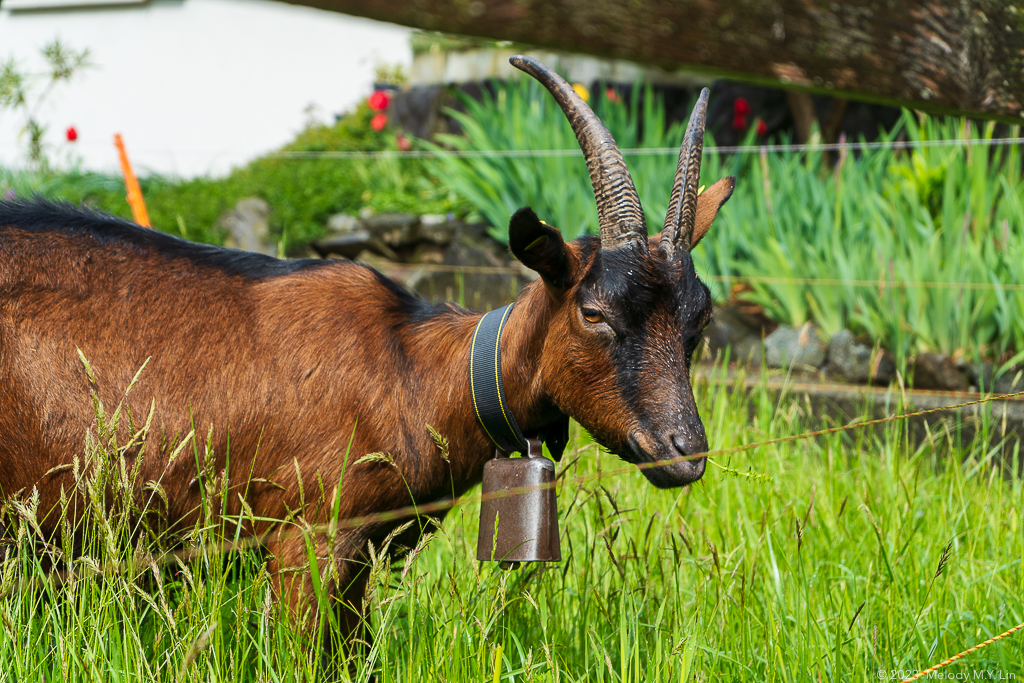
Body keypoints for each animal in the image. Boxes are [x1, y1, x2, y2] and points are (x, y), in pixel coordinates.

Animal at [0, 57, 733, 655]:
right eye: (593, 313)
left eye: (700, 318)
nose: (682, 451)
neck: (413, 370)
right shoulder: (308, 538)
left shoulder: (367, 558)